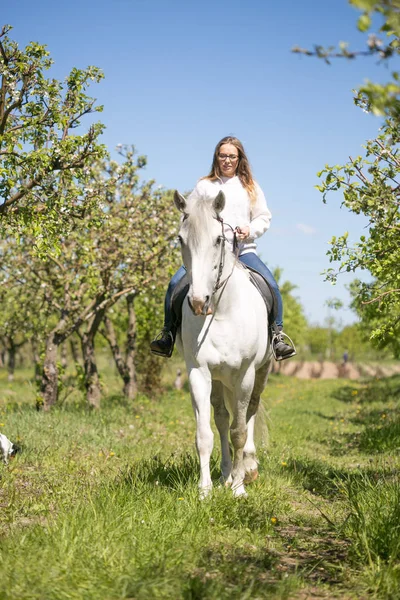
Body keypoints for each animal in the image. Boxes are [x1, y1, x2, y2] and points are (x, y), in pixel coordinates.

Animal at [174, 191, 272, 496]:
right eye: (180, 239)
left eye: (219, 239)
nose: (197, 302)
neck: (221, 311)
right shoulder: (198, 373)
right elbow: (205, 434)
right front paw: (205, 490)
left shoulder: (245, 374)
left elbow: (239, 431)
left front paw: (239, 489)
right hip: (218, 380)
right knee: (221, 419)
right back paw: (226, 474)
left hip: (259, 374)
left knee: (249, 413)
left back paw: (247, 469)